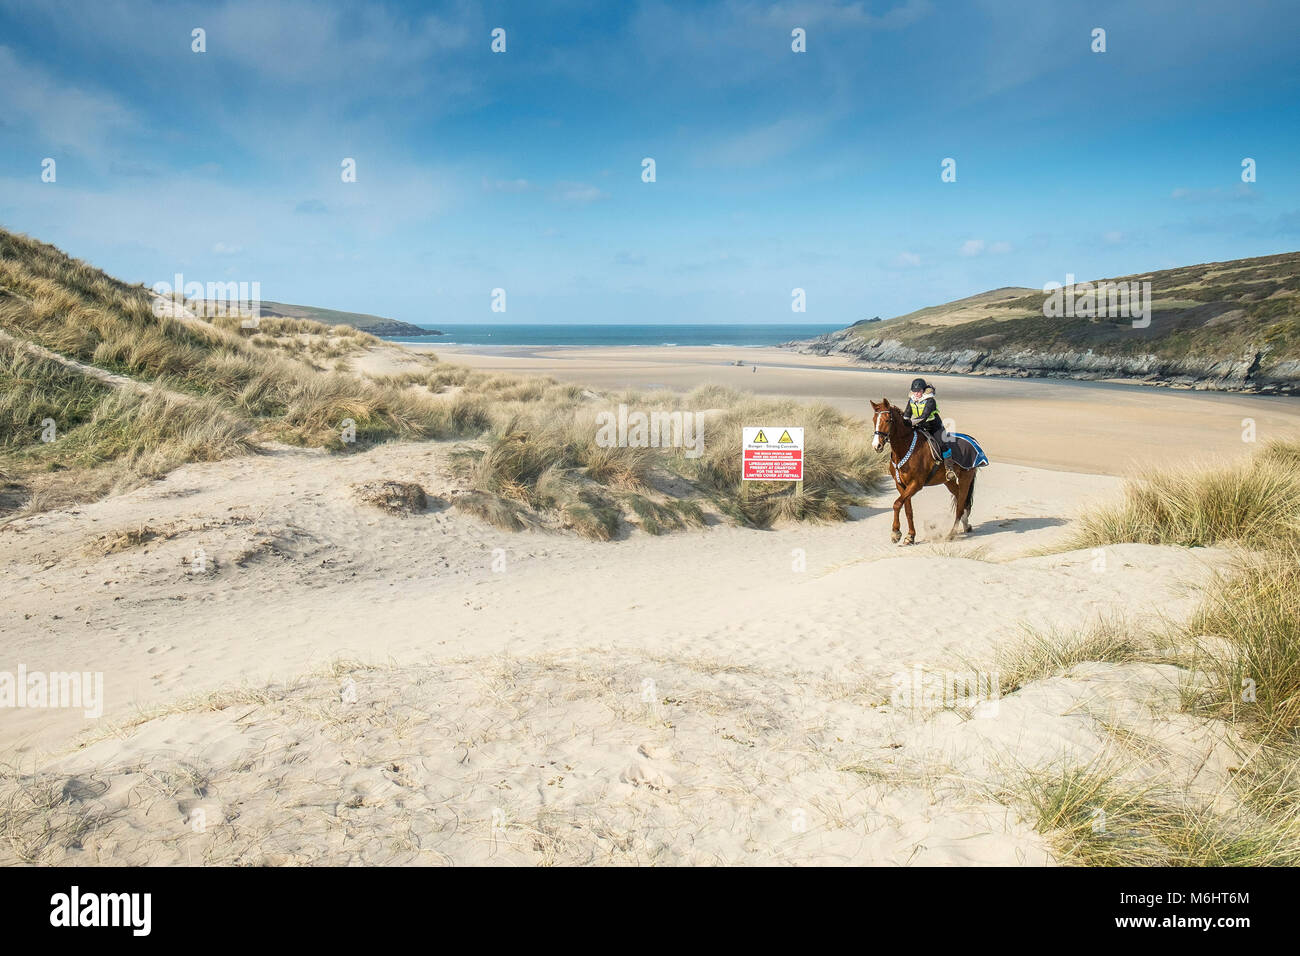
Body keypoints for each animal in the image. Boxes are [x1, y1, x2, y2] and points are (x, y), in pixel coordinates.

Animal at [873, 398, 977, 546]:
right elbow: (907, 510)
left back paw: (951, 534)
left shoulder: (916, 484)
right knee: (961, 502)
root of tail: (972, 441)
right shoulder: (901, 485)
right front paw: (910, 536)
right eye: (874, 420)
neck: (905, 448)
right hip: (949, 481)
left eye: (887, 420)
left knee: (960, 506)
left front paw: (896, 533)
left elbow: (897, 504)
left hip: (965, 479)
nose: (877, 446)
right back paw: (966, 525)